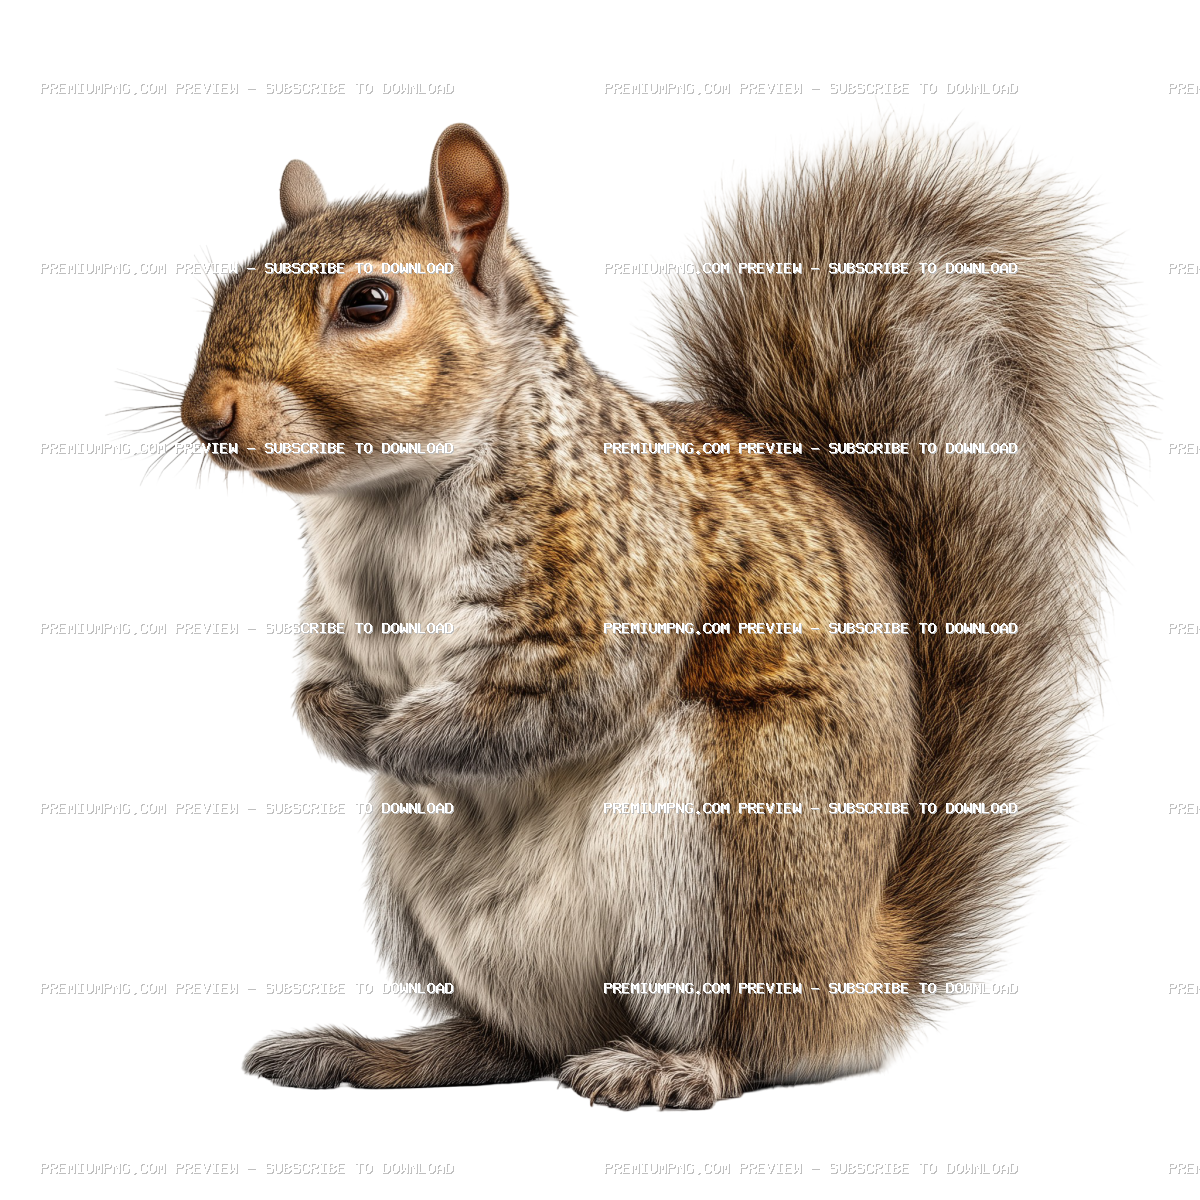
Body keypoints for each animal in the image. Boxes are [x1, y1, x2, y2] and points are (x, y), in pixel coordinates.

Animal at [112, 108, 1154, 1111]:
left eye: (369, 302)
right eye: (223, 288)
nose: (203, 415)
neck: (389, 502)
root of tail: (850, 985)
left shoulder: (609, 575)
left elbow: (557, 694)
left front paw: (397, 741)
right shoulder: (334, 614)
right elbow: (314, 684)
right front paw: (341, 727)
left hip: (724, 852)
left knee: (741, 1044)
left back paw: (666, 1069)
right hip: (412, 898)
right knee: (513, 1043)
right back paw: (376, 1052)